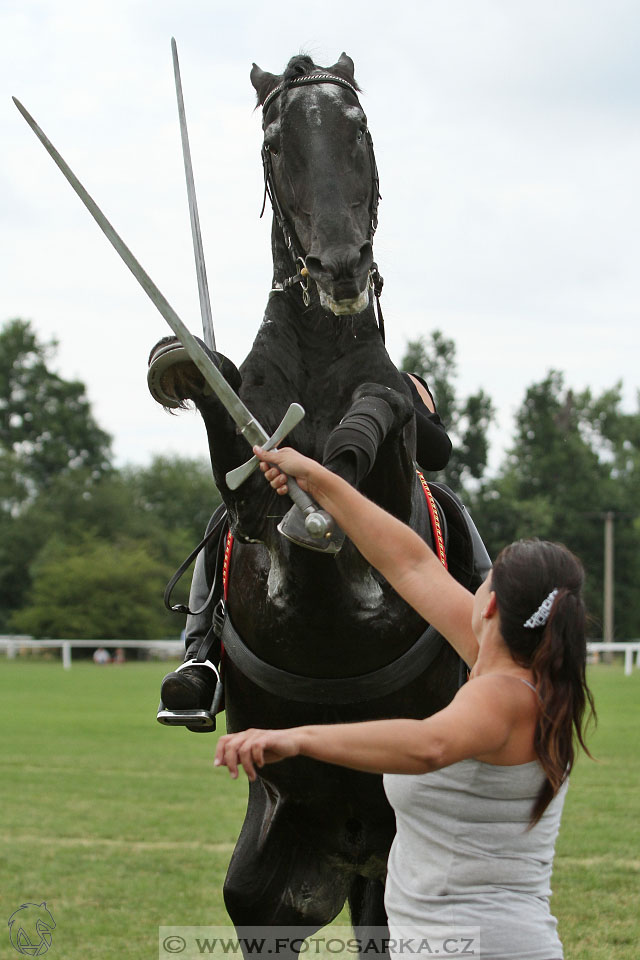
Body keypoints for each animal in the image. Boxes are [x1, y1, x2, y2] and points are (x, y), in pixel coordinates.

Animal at [150, 56, 488, 948]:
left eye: (358, 131)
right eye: (276, 142)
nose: (340, 267)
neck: (322, 350)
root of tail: (352, 839)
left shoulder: (391, 522)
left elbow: (390, 421)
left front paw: (345, 448)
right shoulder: (259, 528)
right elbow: (248, 474)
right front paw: (186, 364)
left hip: (390, 839)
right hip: (277, 853)